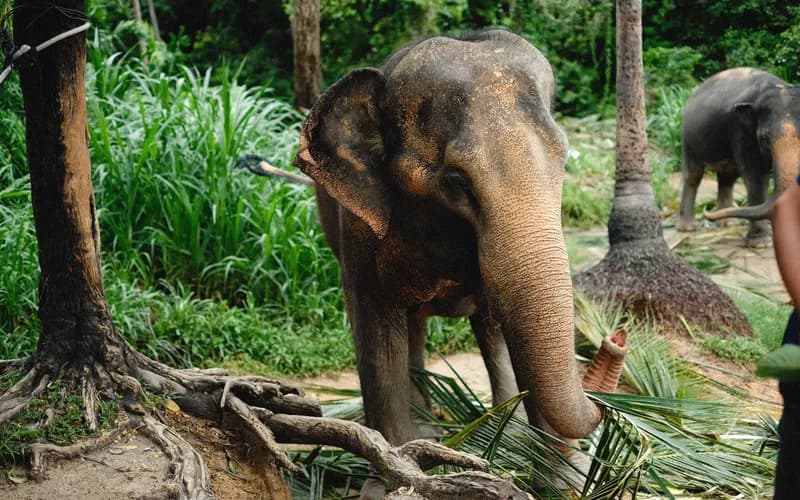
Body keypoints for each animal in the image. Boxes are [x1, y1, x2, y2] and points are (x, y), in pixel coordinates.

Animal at [291, 29, 625, 448]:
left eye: (563, 162)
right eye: (457, 180)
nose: (617, 338)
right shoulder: (358, 227)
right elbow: (378, 343)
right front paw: (398, 457)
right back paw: (429, 431)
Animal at [677, 67, 800, 247]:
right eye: (764, 139)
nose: (706, 214)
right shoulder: (739, 129)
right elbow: (755, 176)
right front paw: (761, 243)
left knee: (728, 177)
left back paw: (727, 223)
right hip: (688, 137)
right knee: (693, 175)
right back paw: (687, 228)